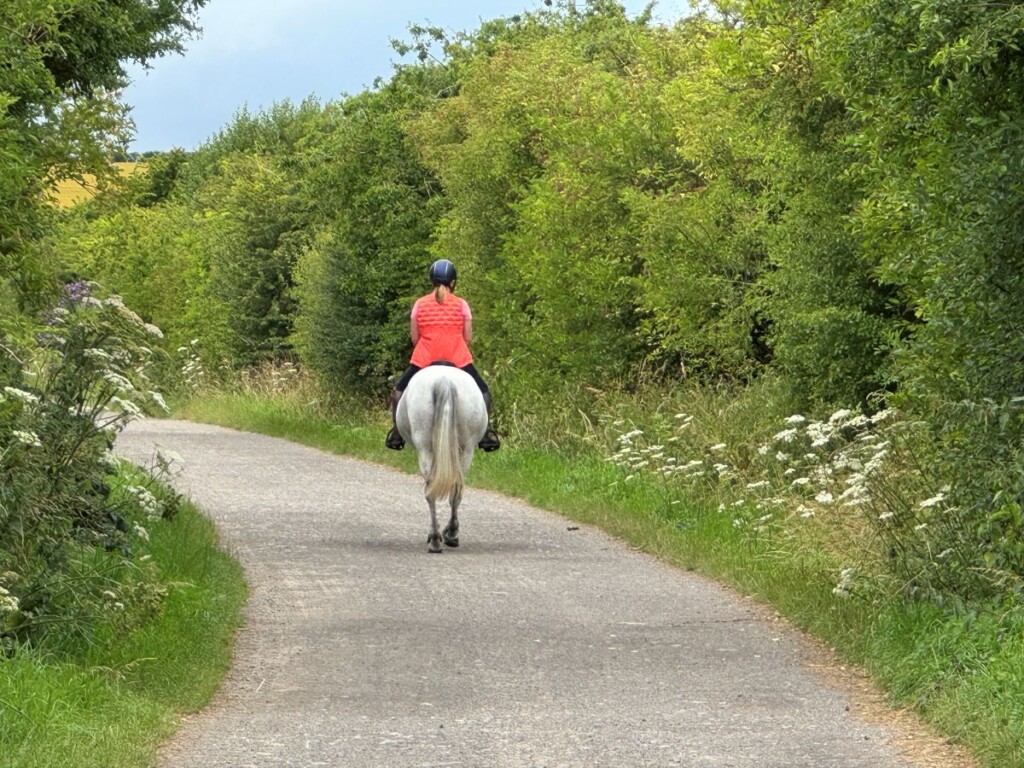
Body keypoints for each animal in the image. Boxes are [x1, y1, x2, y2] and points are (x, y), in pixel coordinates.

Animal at [395, 364, 487, 552]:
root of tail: (444, 380)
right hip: (466, 448)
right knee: (457, 488)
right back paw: (451, 533)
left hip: (424, 445)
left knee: (430, 489)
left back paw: (436, 538)